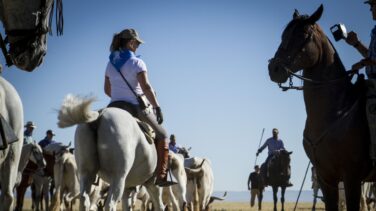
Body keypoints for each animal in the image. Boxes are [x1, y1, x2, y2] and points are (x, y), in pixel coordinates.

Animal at [268, 4, 372, 211]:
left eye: (303, 34)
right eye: (284, 35)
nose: (273, 69)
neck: (336, 112)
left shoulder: (352, 176)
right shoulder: (326, 178)